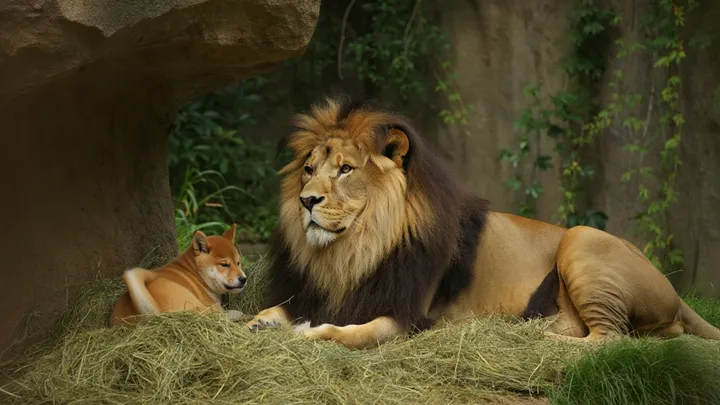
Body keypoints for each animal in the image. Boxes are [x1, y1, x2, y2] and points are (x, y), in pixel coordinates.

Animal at [246, 96, 720, 349]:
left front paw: (309, 334)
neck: (352, 251)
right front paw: (258, 322)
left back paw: (535, 338)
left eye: (345, 170)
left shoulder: (409, 316)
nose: (307, 201)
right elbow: (277, 309)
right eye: (309, 170)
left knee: (610, 338)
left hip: (583, 238)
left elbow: (351, 334)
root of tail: (677, 295)